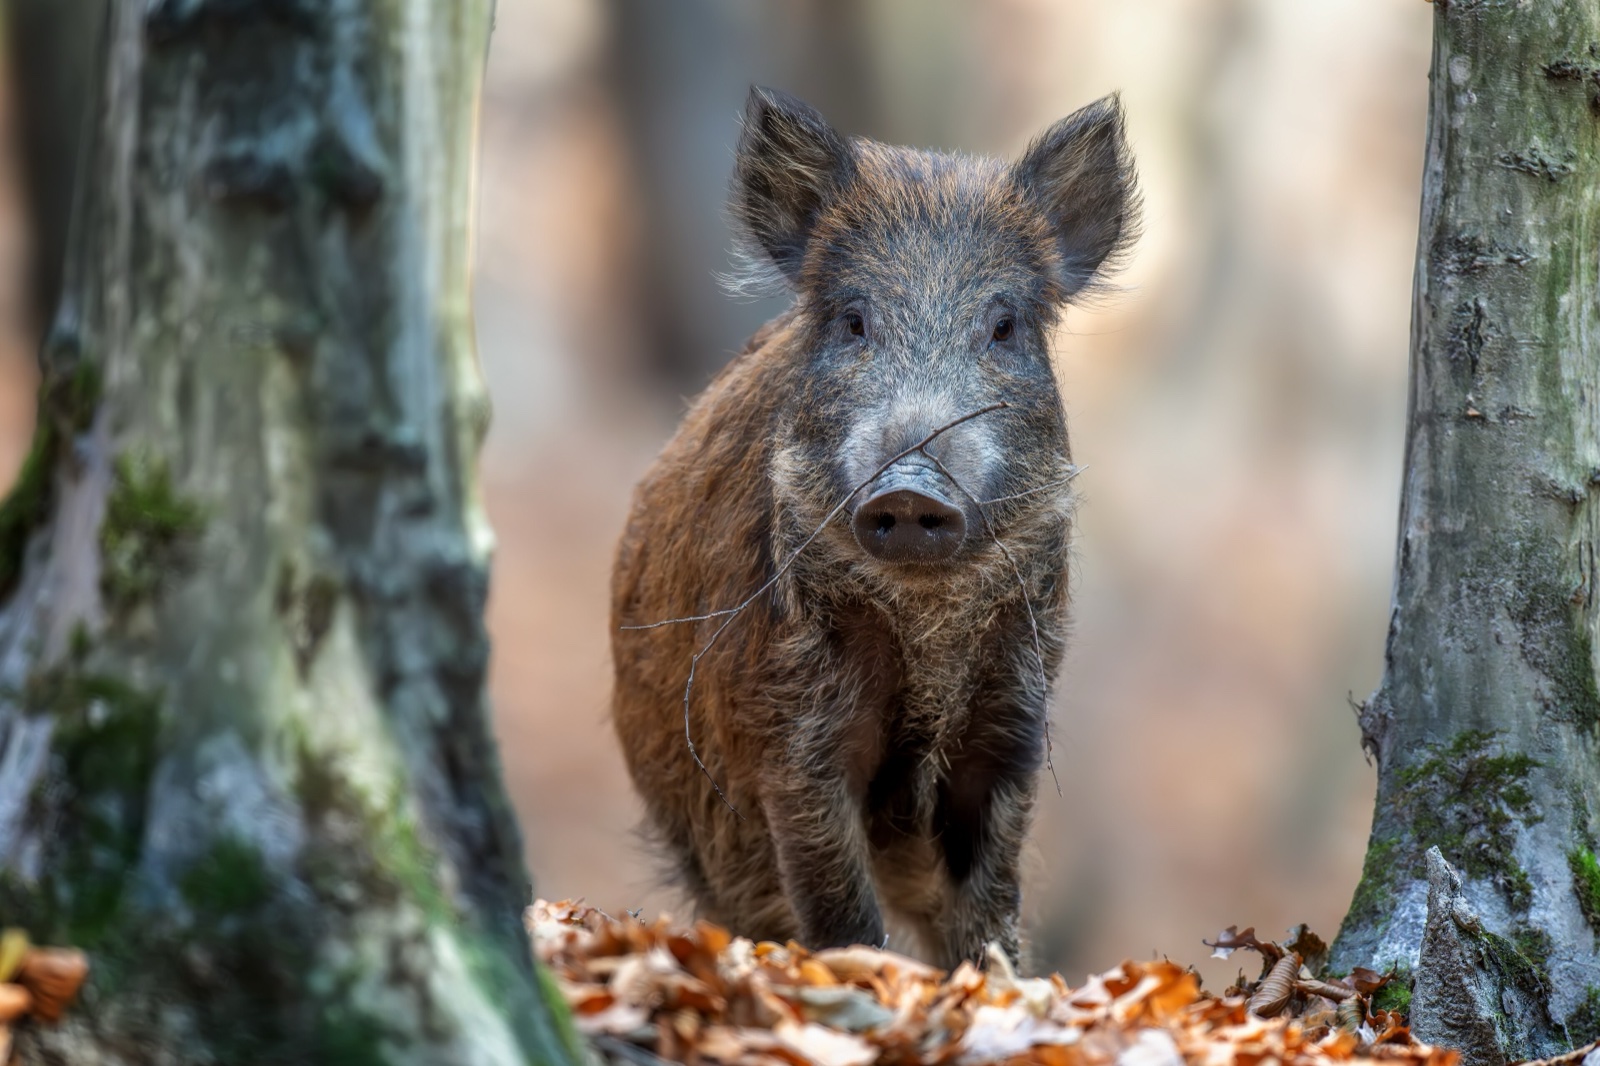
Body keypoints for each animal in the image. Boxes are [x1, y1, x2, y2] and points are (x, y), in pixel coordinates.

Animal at [611, 86, 1137, 969]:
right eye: (853, 320)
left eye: (1005, 326)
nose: (912, 490)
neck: (924, 626)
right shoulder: (790, 732)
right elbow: (837, 904)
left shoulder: (1010, 719)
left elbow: (988, 907)